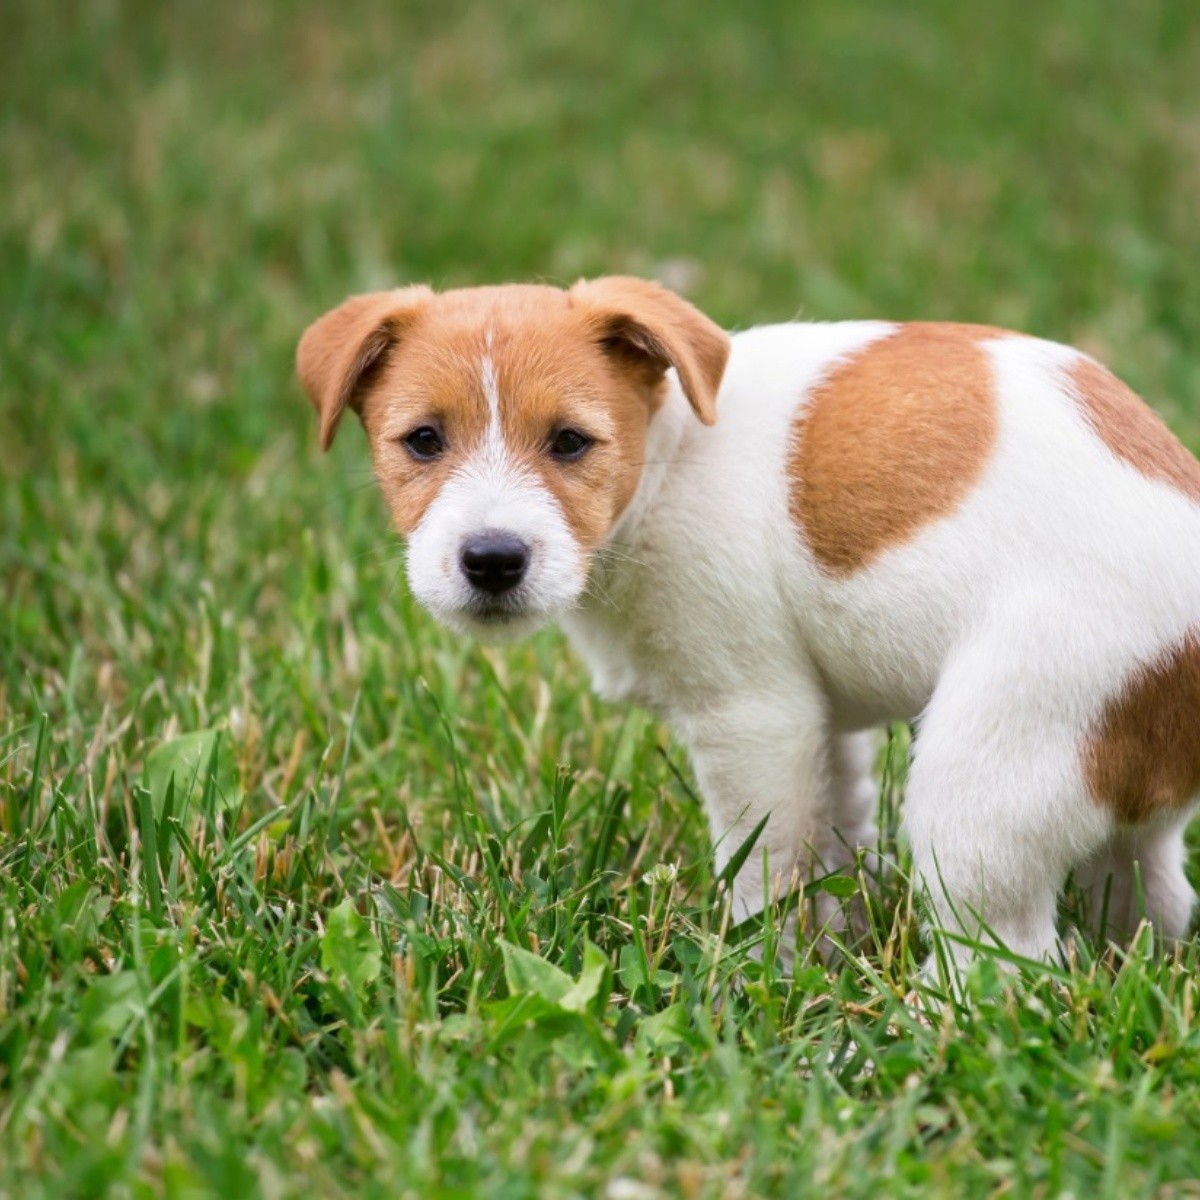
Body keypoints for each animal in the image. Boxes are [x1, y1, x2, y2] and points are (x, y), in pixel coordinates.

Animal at [297, 280, 1200, 964]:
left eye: (571, 442)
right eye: (422, 440)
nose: (492, 559)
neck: (668, 456)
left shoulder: (753, 719)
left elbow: (763, 869)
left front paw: (764, 970)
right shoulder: (820, 723)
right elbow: (832, 835)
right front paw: (834, 948)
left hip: (989, 779)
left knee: (1007, 958)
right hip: (1112, 792)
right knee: (1151, 895)